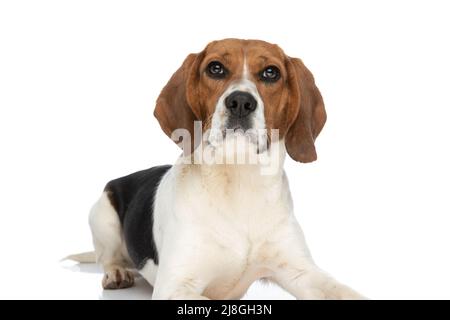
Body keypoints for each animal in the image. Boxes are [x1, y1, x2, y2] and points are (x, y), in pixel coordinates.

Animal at [80, 38, 366, 300]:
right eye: (215, 68)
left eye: (271, 72)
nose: (240, 101)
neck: (240, 182)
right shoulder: (175, 286)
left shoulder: (302, 272)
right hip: (102, 215)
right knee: (108, 258)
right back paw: (117, 272)